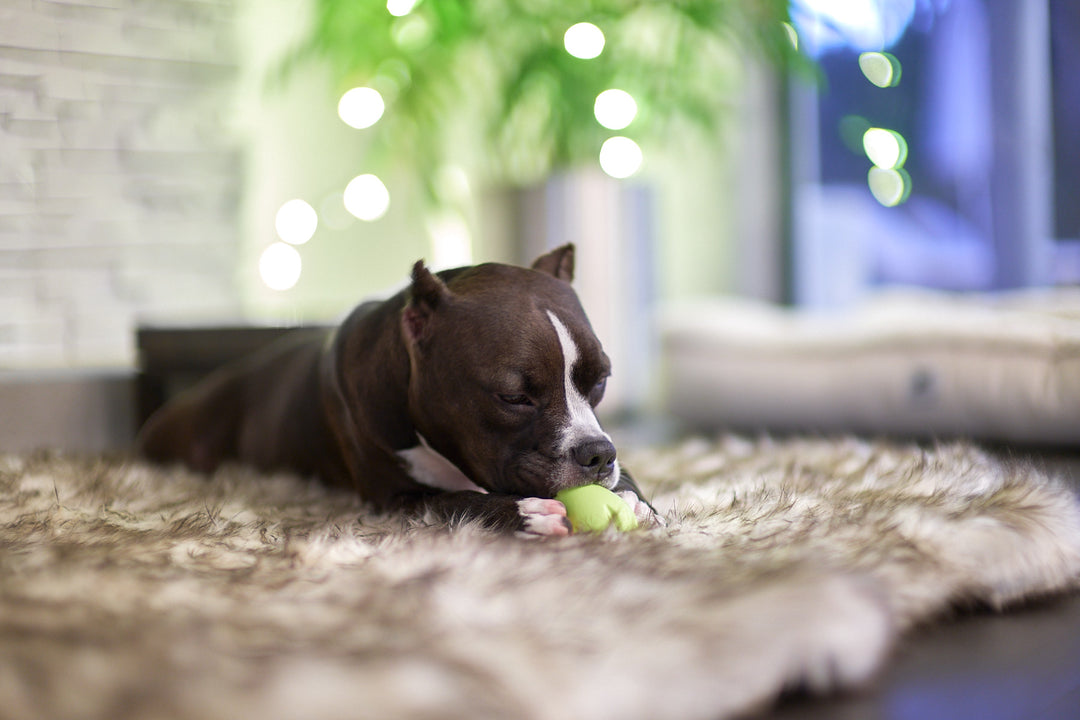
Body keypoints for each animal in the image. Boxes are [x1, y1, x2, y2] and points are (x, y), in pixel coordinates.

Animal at [136, 246, 656, 535]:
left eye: (601, 380)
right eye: (513, 397)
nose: (597, 454)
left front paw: (632, 498)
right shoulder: (395, 497)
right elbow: (455, 500)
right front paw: (526, 514)